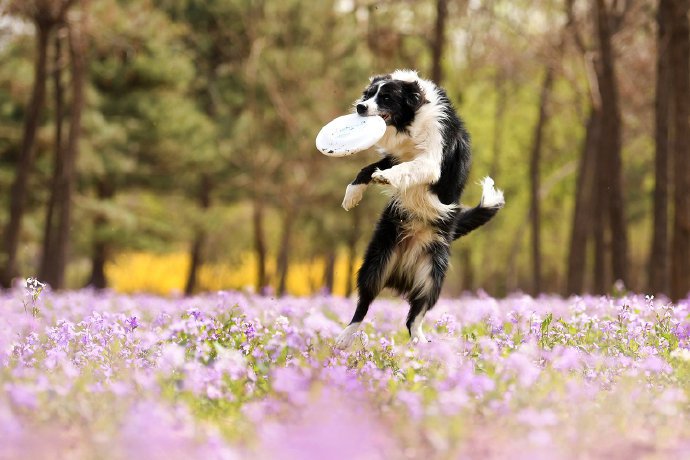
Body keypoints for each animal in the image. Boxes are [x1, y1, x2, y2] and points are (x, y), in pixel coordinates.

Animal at [334, 69, 502, 348]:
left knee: (414, 316)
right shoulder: (394, 155)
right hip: (377, 263)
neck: (412, 121)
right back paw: (346, 338)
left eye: (386, 97)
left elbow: (407, 168)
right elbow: (367, 168)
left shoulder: (432, 159)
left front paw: (386, 178)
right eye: (368, 94)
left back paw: (422, 345)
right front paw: (352, 195)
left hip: (431, 277)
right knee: (364, 304)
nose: (360, 107)